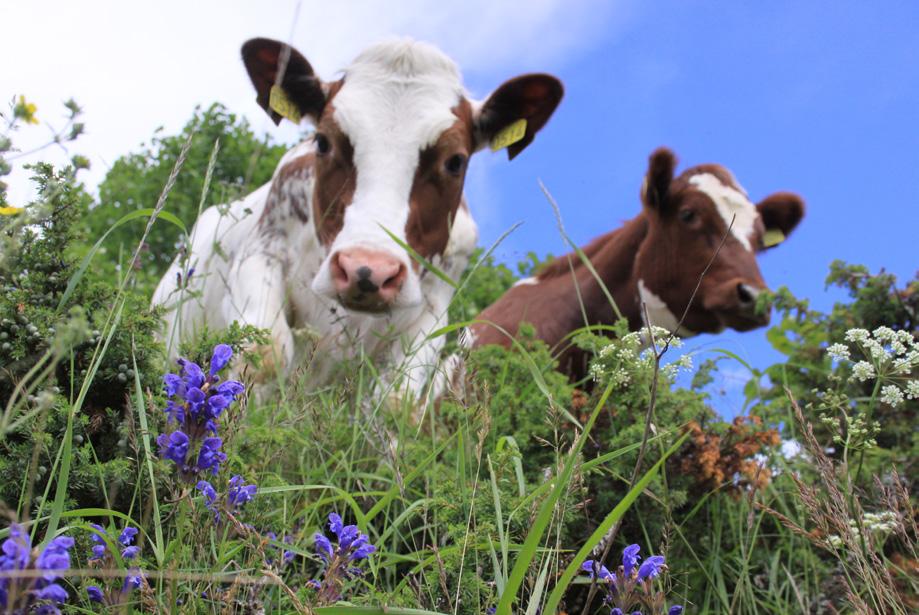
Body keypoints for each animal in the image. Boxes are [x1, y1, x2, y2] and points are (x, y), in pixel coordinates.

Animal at [153, 38, 560, 398]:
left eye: (455, 161)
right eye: (322, 141)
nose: (368, 271)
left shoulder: (433, 311)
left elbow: (396, 401)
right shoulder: (260, 253)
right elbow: (266, 354)